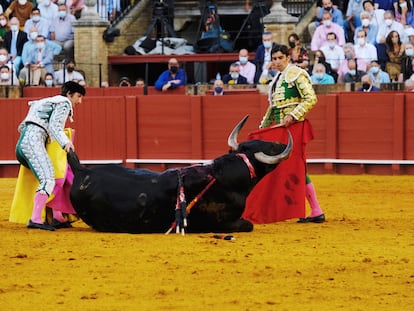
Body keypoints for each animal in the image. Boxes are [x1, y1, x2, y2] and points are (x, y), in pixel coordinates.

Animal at [68, 116, 292, 234]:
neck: (221, 175)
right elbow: (248, 225)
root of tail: (82, 170)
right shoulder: (225, 223)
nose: (281, 144)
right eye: (271, 147)